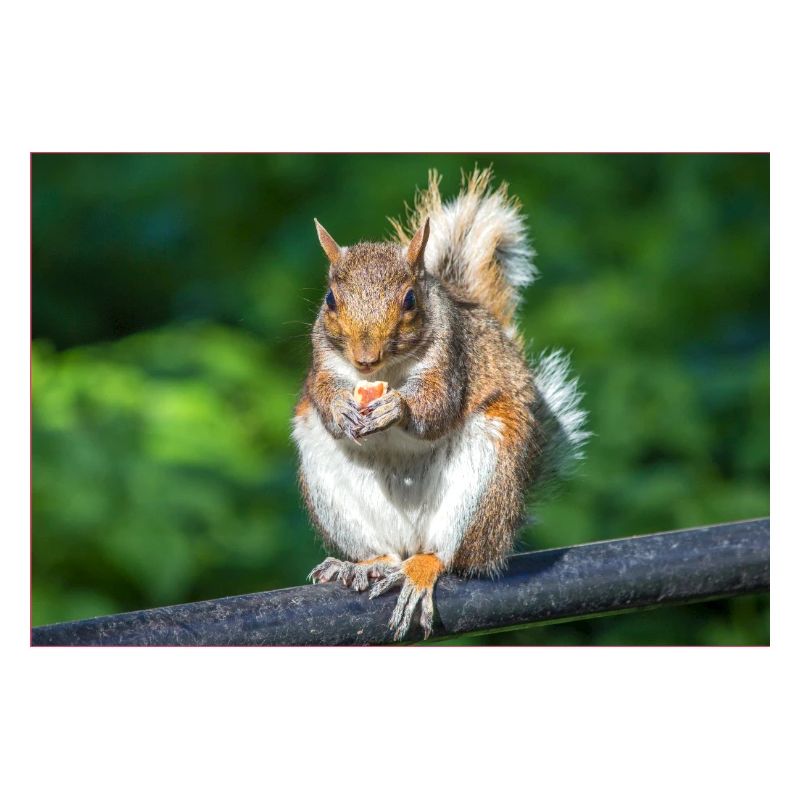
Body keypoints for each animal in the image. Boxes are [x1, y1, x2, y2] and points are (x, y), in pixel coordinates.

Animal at [292, 167, 588, 640]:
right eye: (330, 299)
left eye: (410, 299)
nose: (364, 358)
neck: (387, 372)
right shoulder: (323, 360)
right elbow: (322, 394)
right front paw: (340, 408)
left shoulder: (452, 357)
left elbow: (436, 406)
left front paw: (398, 409)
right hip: (327, 478)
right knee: (385, 550)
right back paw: (366, 564)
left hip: (486, 478)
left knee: (449, 557)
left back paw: (421, 570)